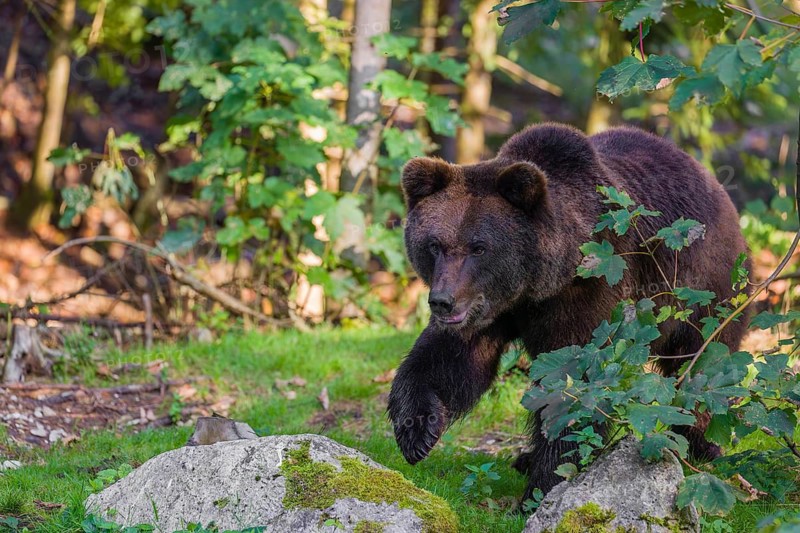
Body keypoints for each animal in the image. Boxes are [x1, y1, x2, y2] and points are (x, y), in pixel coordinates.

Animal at [387, 123, 749, 501]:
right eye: (434, 245)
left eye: (479, 247)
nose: (442, 300)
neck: (538, 285)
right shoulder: (489, 309)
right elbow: (449, 360)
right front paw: (416, 431)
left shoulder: (589, 292)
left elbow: (576, 385)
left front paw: (542, 487)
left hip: (704, 285)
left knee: (702, 362)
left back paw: (701, 443)